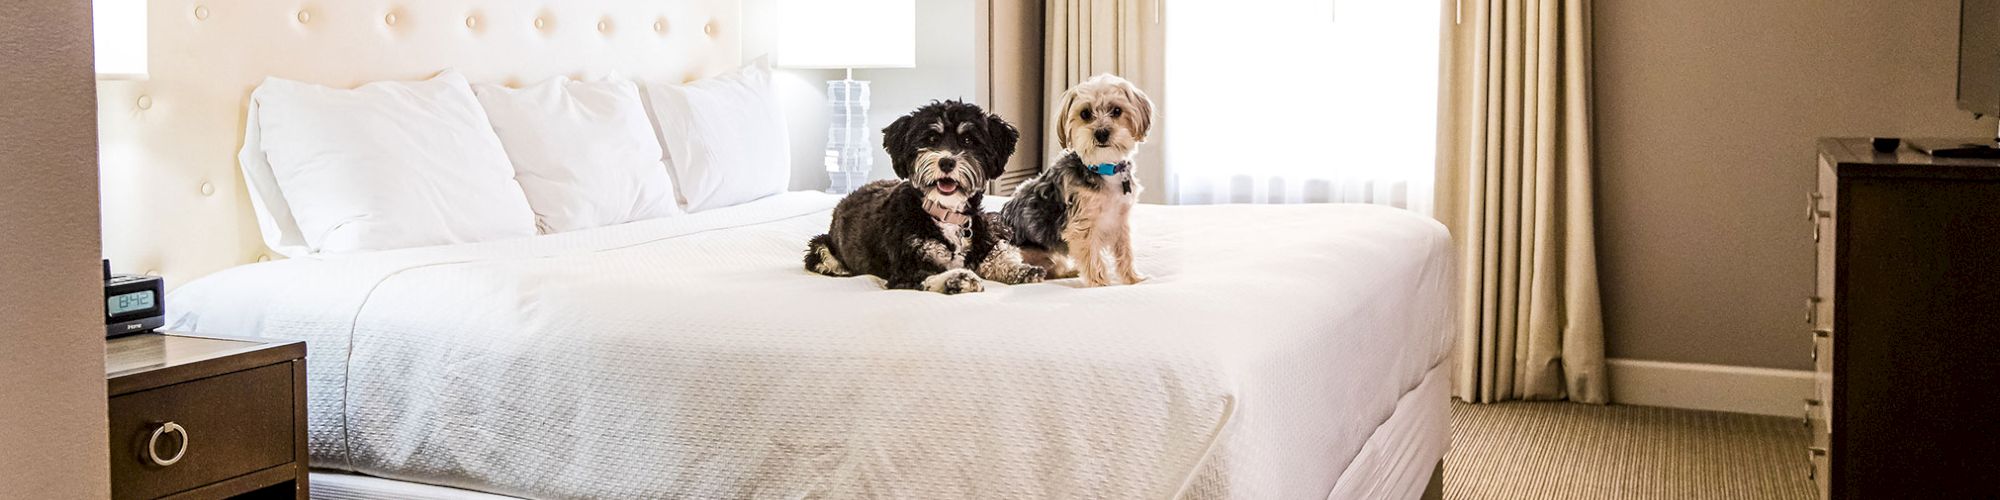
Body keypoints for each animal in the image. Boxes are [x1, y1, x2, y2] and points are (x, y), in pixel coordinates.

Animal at [804, 100, 1048, 292]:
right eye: (930, 139)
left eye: (968, 141)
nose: (946, 162)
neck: (946, 214)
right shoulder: (905, 267)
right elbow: (928, 274)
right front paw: (957, 278)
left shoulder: (984, 239)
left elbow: (998, 254)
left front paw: (1020, 269)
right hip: (820, 245)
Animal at [1000, 72, 1160, 288]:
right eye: (1085, 113)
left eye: (1117, 111)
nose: (1101, 133)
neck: (1104, 167)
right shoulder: (1082, 225)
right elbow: (1092, 255)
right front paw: (1100, 283)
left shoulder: (1120, 221)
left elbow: (1125, 252)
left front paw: (1132, 278)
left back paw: (1070, 271)